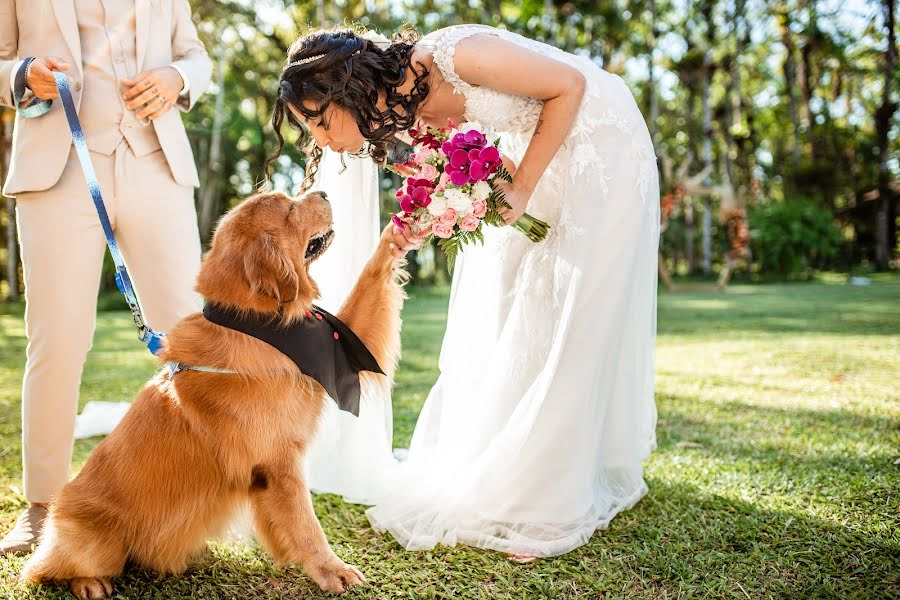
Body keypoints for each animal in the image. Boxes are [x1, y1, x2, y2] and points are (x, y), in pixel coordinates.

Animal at [21, 190, 408, 596]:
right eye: (289, 208)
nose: (323, 192)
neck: (255, 324)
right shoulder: (279, 462)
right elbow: (306, 524)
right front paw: (333, 569)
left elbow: (368, 282)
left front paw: (401, 233)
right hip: (96, 539)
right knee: (46, 570)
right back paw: (88, 582)